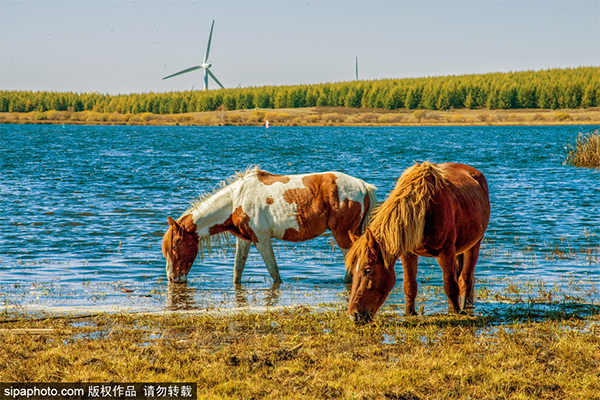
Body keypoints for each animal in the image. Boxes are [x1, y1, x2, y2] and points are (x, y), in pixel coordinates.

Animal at [161, 169, 376, 284]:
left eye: (175, 246)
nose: (172, 278)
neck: (236, 200)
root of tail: (363, 186)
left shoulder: (261, 238)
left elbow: (273, 270)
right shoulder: (244, 240)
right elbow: (237, 269)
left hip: (342, 235)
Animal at [344, 161, 490, 324]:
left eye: (368, 270)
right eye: (352, 269)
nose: (354, 315)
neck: (425, 210)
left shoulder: (446, 251)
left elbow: (450, 285)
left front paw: (458, 313)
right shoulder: (408, 253)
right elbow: (409, 285)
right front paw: (410, 313)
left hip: (474, 245)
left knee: (465, 278)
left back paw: (463, 307)